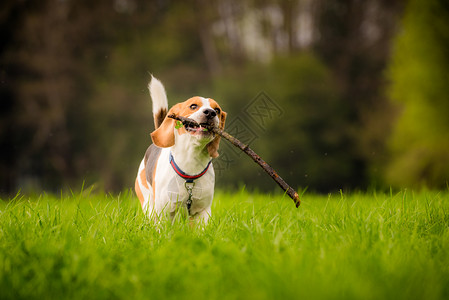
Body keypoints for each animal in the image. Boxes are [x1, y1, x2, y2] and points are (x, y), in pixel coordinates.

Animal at [134, 76, 226, 224]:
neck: (191, 160)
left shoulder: (203, 211)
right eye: (193, 106)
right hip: (148, 203)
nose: (211, 113)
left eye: (217, 110)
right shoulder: (164, 212)